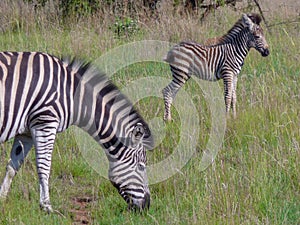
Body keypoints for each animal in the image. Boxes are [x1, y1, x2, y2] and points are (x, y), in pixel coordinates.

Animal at [0, 51, 155, 213]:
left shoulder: (26, 132)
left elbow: (13, 166)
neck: (72, 95)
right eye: (141, 166)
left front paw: (2, 200)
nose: (146, 206)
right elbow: (44, 166)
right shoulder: (45, 122)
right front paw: (46, 206)